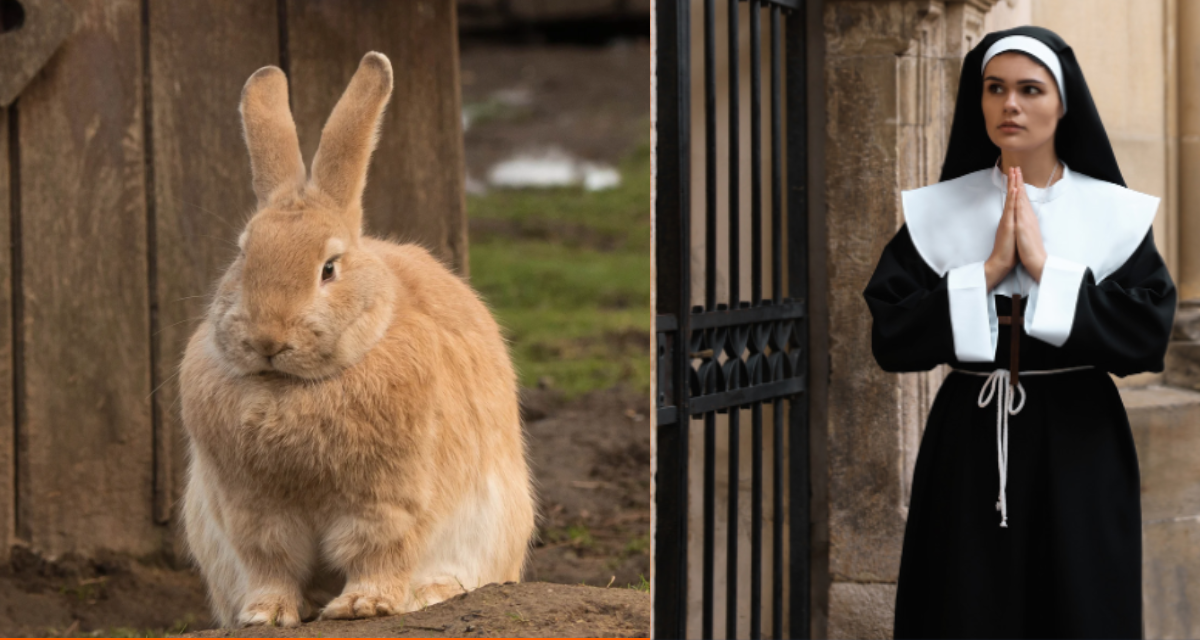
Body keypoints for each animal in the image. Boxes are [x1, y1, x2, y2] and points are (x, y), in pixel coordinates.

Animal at [178, 51, 536, 628]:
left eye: (329, 268)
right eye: (242, 254)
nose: (267, 337)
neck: (293, 387)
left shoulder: (388, 502)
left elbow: (378, 552)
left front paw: (361, 606)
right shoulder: (251, 511)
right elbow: (271, 564)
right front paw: (265, 614)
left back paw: (429, 593)